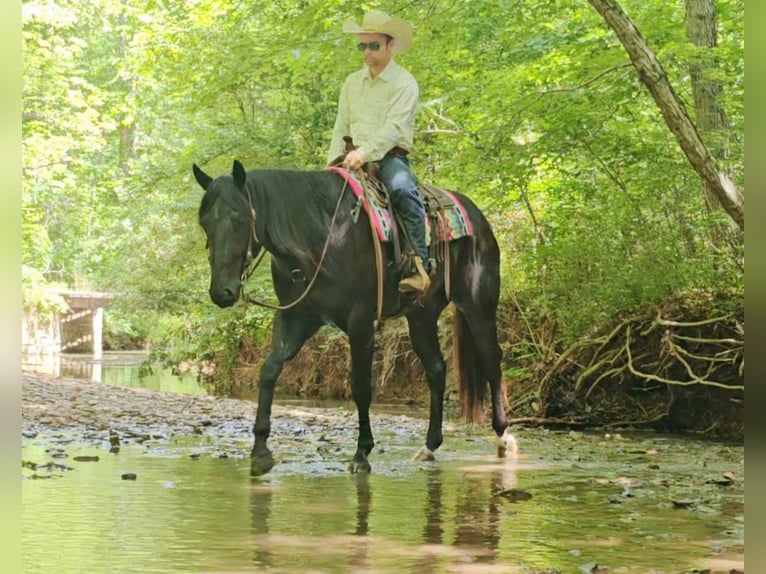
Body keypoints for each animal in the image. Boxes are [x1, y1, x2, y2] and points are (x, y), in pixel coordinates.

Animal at [195, 161, 512, 476]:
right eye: (204, 223)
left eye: (238, 219)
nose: (222, 292)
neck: (319, 237)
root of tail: (478, 217)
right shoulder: (295, 318)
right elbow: (269, 371)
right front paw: (261, 451)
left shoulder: (360, 322)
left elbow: (360, 387)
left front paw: (362, 452)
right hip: (422, 316)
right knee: (436, 369)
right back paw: (429, 446)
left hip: (478, 306)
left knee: (492, 361)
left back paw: (504, 435)